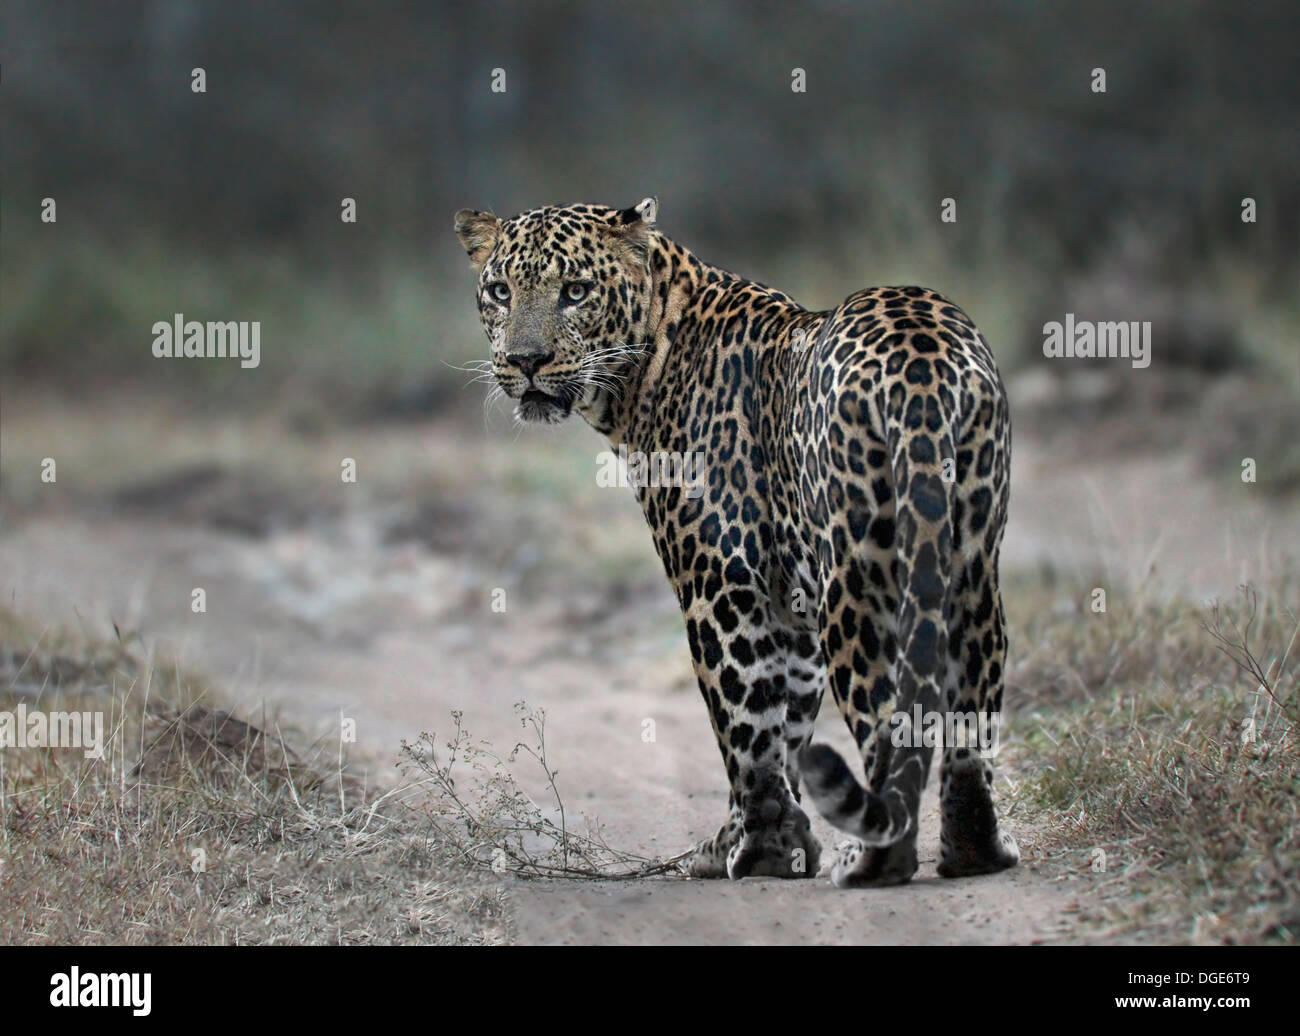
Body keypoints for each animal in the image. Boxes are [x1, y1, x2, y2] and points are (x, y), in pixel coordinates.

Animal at [452, 197, 1019, 883]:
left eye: (576, 291)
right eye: (500, 292)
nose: (526, 361)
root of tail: (923, 357)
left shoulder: (719, 578)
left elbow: (743, 719)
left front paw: (761, 851)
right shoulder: (788, 599)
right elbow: (786, 721)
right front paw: (761, 840)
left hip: (860, 580)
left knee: (890, 718)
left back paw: (875, 858)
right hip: (970, 564)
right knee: (969, 712)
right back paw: (975, 850)